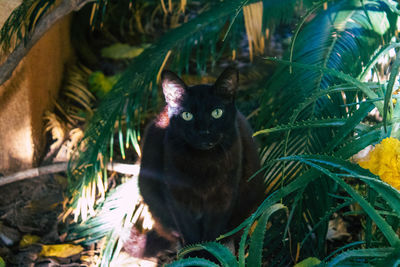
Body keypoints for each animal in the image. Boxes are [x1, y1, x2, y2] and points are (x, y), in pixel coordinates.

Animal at [136, 67, 264, 260]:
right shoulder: (177, 198)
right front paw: (194, 255)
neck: (203, 163)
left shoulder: (223, 198)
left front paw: (211, 256)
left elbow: (213, 233)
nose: (203, 131)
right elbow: (190, 232)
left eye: (217, 113)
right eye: (187, 115)